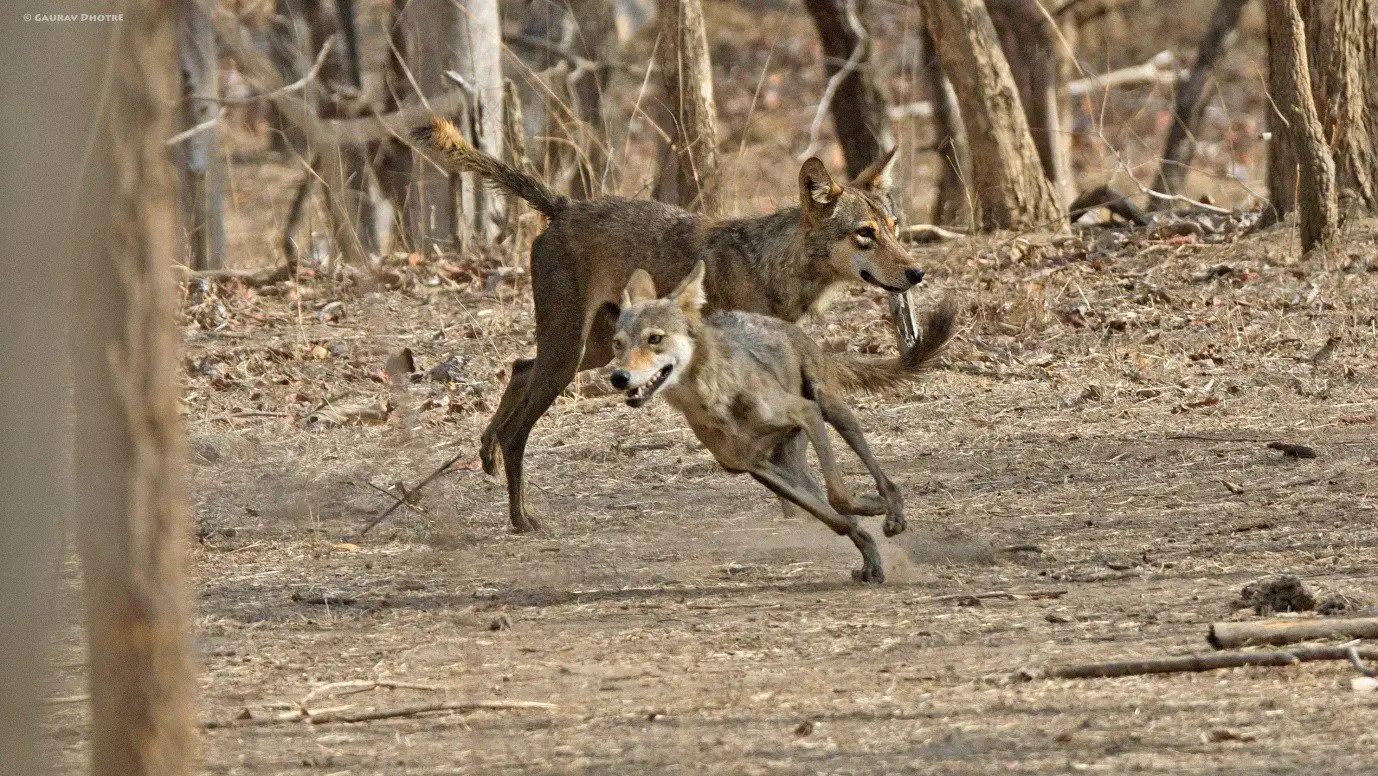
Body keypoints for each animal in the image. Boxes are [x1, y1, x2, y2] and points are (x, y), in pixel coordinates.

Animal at [418, 117, 928, 532]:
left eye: (894, 226)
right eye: (865, 234)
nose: (917, 273)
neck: (771, 266)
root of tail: (564, 205)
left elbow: (794, 448)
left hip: (591, 352)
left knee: (519, 369)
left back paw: (486, 453)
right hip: (570, 357)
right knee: (518, 426)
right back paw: (520, 518)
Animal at [610, 261, 955, 583]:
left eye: (654, 339)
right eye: (618, 343)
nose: (618, 377)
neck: (714, 400)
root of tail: (792, 328)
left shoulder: (807, 413)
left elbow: (839, 496)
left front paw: (873, 507)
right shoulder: (756, 467)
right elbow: (835, 518)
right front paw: (865, 540)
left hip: (834, 411)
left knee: (880, 475)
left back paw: (892, 510)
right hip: (792, 464)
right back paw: (871, 557)